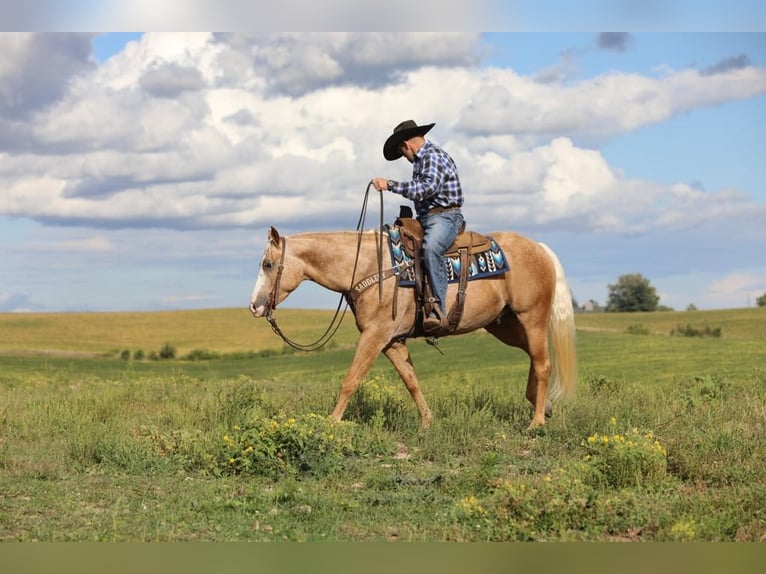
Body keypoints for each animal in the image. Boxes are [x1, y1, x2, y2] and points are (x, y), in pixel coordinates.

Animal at [249, 227, 580, 430]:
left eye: (268, 264)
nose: (254, 306)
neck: (371, 267)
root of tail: (539, 248)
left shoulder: (375, 335)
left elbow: (350, 380)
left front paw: (331, 423)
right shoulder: (392, 341)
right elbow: (411, 381)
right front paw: (427, 422)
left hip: (531, 318)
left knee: (543, 364)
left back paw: (536, 421)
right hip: (506, 325)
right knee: (535, 358)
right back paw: (544, 407)